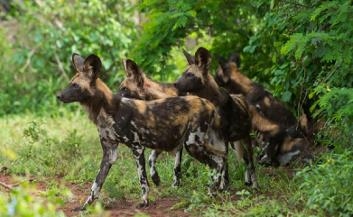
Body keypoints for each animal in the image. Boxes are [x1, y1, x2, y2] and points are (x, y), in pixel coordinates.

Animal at [57, 53, 228, 210]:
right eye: (70, 83)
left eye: (75, 85)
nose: (58, 96)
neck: (107, 111)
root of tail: (207, 103)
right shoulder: (109, 153)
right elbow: (96, 184)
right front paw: (85, 205)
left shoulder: (137, 148)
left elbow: (143, 179)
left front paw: (144, 202)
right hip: (199, 143)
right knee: (221, 160)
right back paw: (216, 190)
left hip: (191, 144)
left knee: (216, 164)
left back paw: (211, 192)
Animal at [175, 47, 258, 188]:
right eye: (183, 74)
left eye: (190, 75)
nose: (174, 84)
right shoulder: (211, 139)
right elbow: (216, 165)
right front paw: (216, 184)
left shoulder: (222, 137)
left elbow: (224, 164)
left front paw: (224, 186)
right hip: (234, 143)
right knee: (245, 159)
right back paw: (247, 181)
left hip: (245, 139)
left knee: (251, 162)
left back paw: (255, 184)